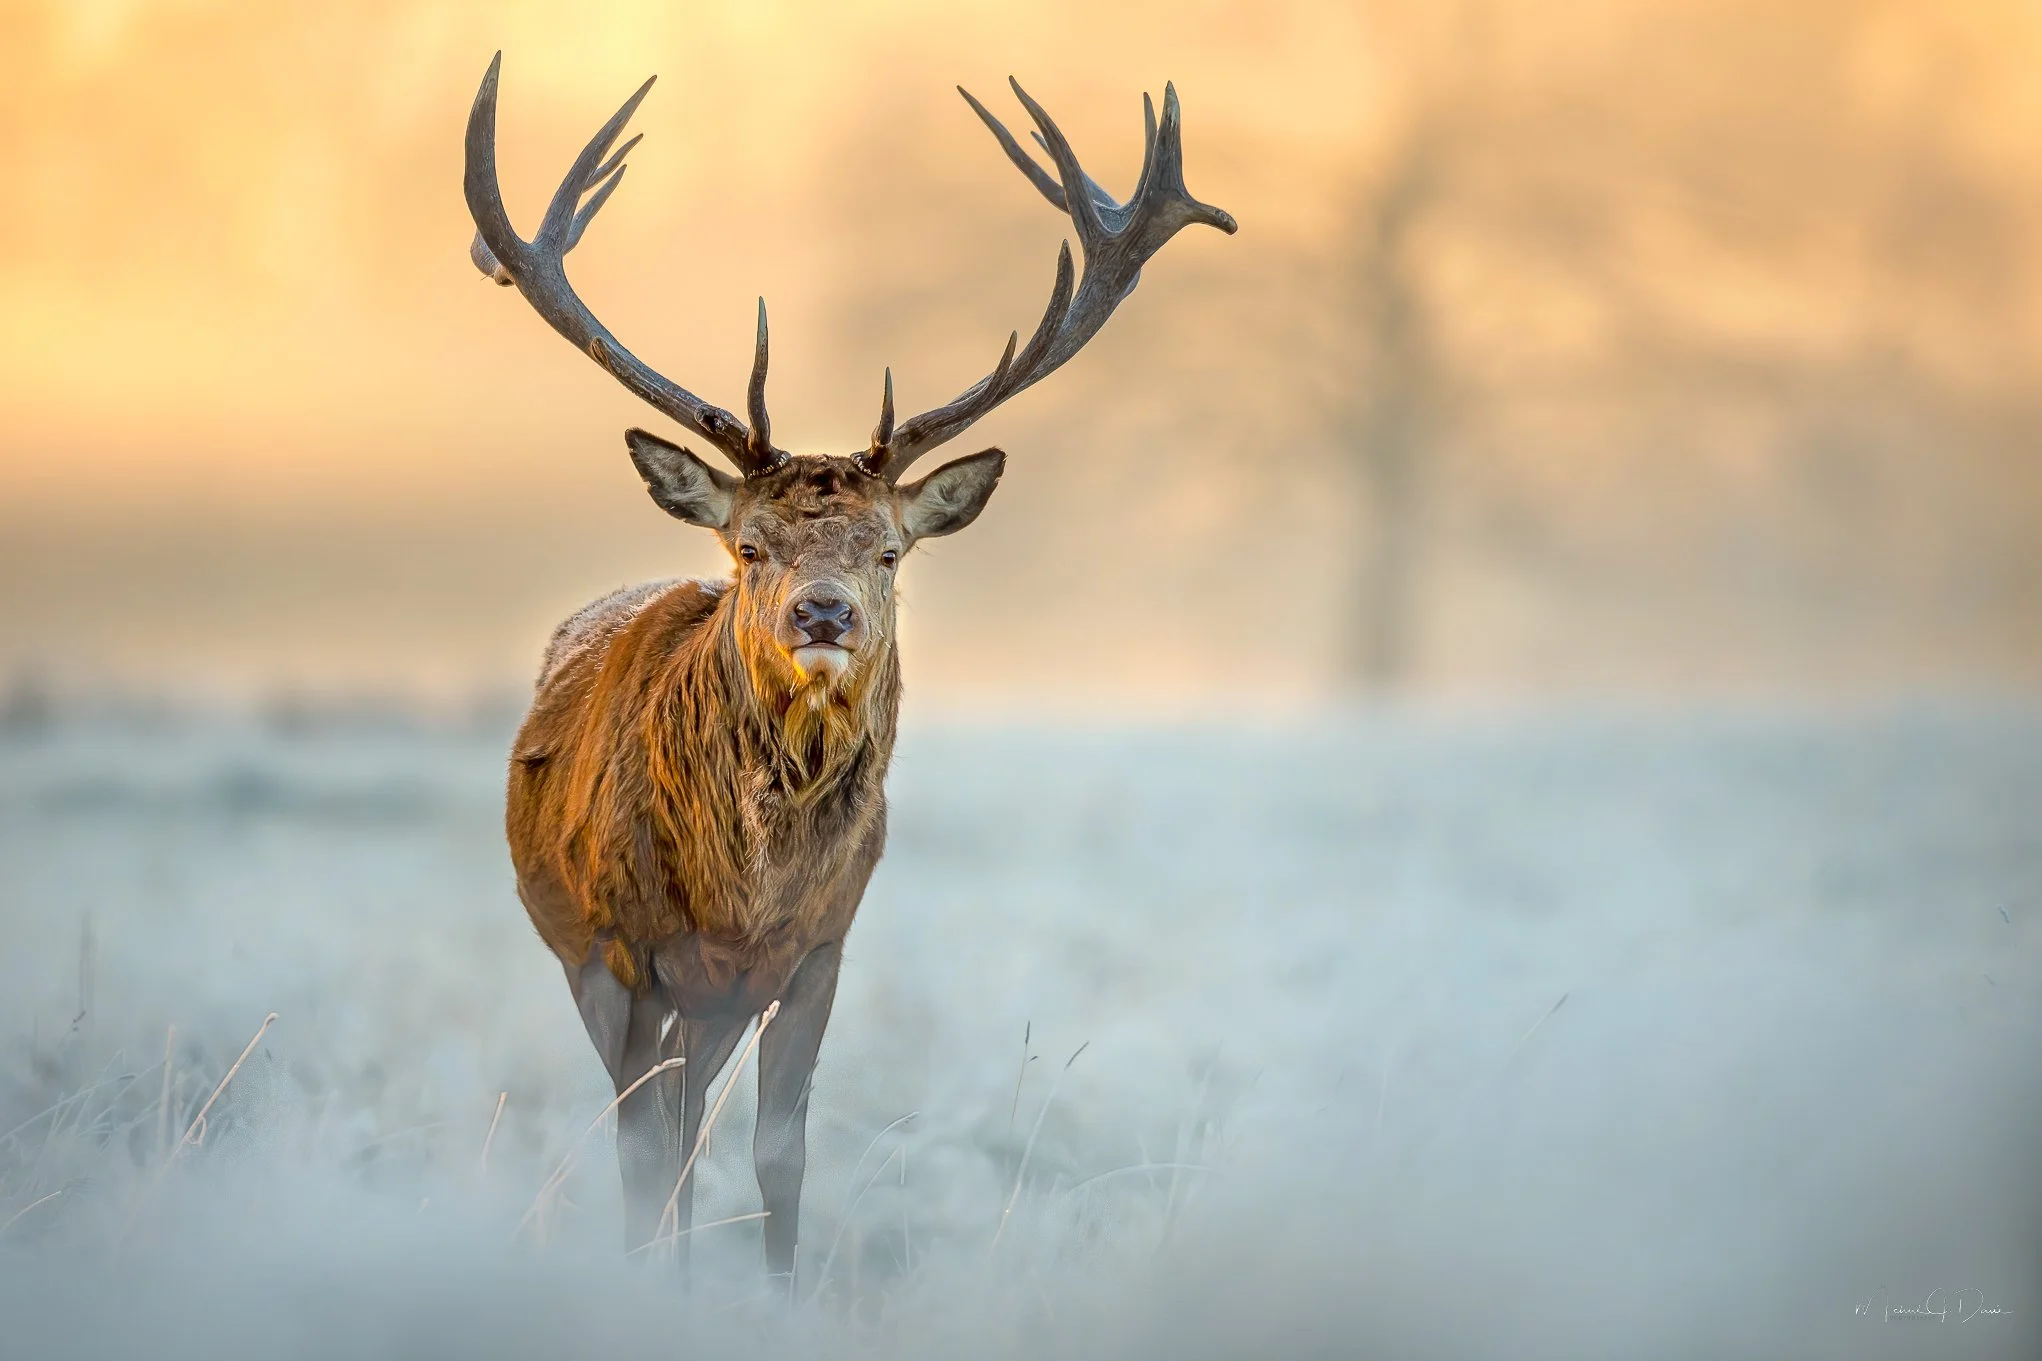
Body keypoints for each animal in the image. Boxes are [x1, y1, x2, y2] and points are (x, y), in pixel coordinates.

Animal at [463, 51, 1234, 1284]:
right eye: (748, 546)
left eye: (887, 549)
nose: (821, 610)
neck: (743, 896)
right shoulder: (624, 949)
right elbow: (643, 1157)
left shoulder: (820, 947)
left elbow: (779, 1152)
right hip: (593, 956)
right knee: (661, 1132)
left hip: (715, 1003)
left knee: (693, 1122)